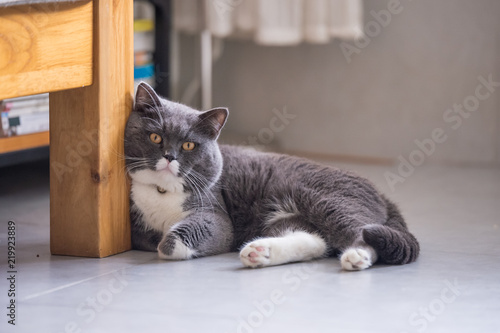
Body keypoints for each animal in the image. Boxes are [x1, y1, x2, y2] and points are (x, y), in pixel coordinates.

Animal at [124, 82, 418, 270]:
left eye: (188, 145)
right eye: (155, 137)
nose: (169, 156)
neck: (162, 191)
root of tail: (382, 195)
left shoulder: (215, 212)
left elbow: (176, 240)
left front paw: (163, 242)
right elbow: (146, 237)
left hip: (329, 200)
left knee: (360, 231)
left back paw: (356, 255)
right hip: (288, 218)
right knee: (315, 240)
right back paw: (258, 252)